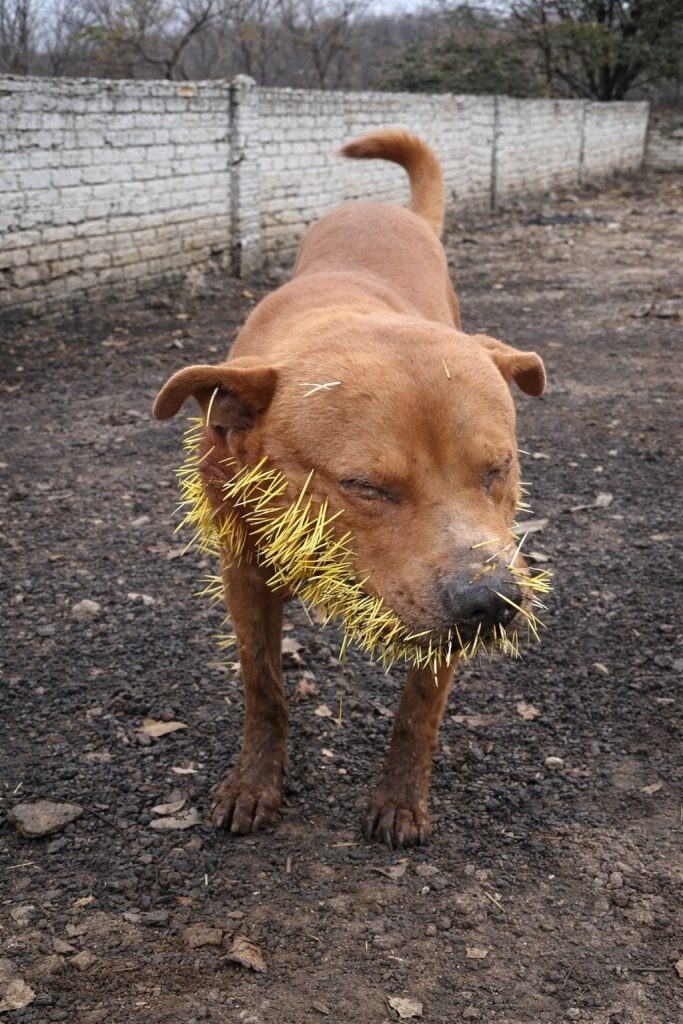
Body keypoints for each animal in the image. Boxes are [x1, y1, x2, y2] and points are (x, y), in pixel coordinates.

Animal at [153, 131, 546, 848]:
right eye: (365, 486)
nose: (492, 601)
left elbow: (419, 709)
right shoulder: (242, 575)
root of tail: (388, 209)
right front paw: (253, 781)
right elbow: (263, 686)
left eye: (497, 469)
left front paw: (399, 797)